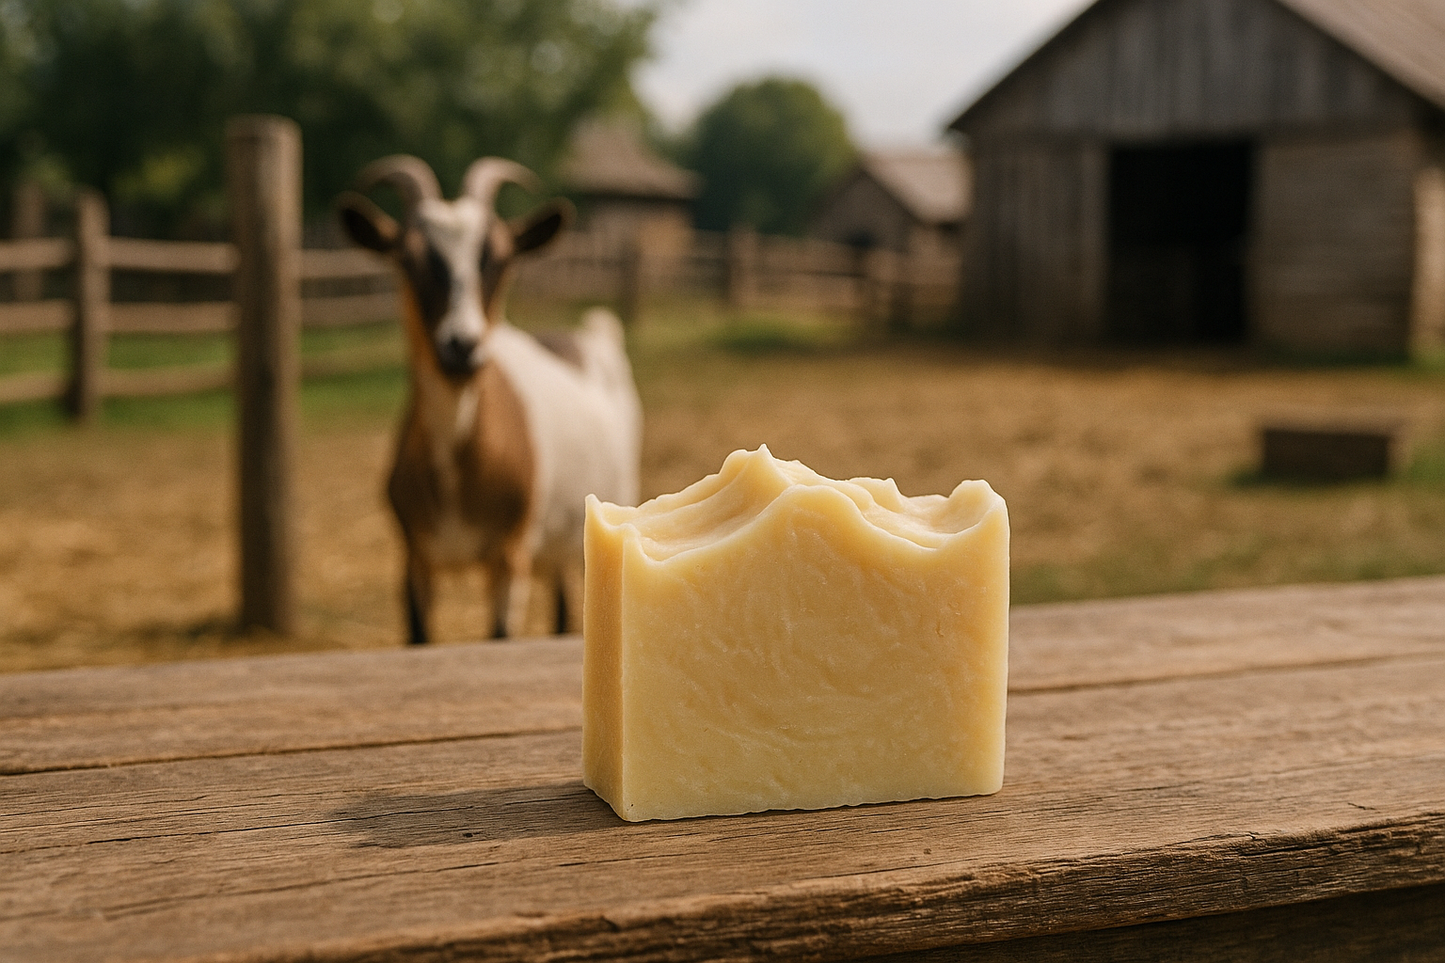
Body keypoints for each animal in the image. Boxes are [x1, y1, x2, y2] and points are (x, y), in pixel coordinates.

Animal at [336, 155, 642, 645]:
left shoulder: (508, 557)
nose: (461, 346)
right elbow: (418, 634)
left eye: (498, 259)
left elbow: (499, 633)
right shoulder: (415, 559)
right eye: (408, 259)